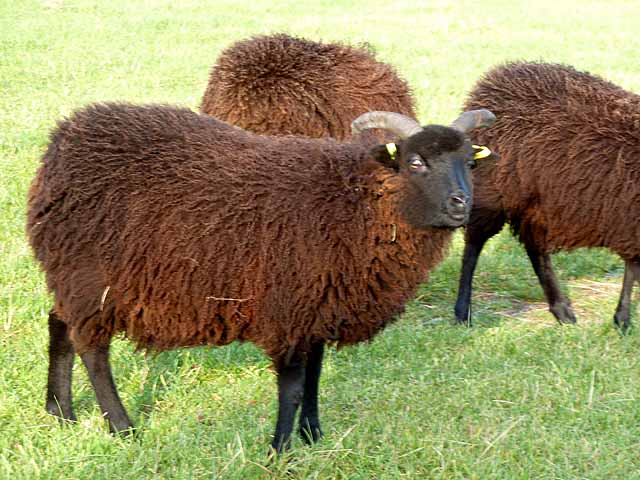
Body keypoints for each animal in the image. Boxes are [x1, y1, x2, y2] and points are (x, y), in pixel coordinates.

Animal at [25, 102, 496, 454]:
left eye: (469, 163)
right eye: (416, 162)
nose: (461, 204)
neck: (355, 202)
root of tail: (63, 139)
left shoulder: (319, 306)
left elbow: (315, 377)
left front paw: (312, 435)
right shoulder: (288, 307)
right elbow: (292, 386)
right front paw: (280, 450)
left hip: (73, 276)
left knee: (59, 326)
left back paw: (60, 413)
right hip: (90, 277)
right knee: (93, 351)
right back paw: (122, 428)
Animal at [452, 61, 640, 330]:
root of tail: (493, 79)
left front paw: (621, 318)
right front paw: (622, 319)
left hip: (536, 203)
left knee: (535, 248)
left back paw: (561, 310)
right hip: (494, 193)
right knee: (473, 246)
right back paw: (462, 312)